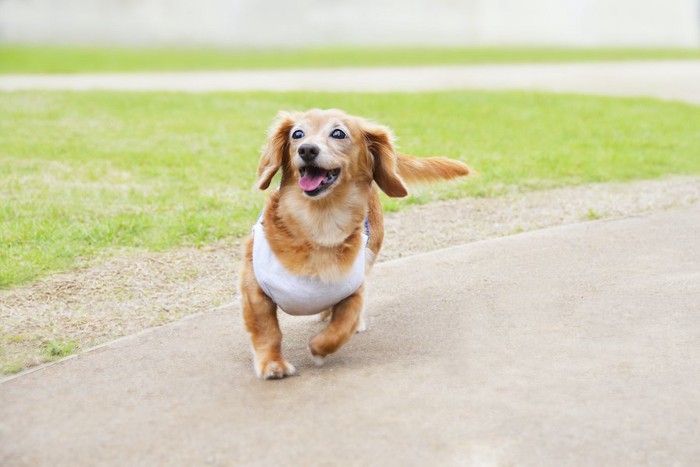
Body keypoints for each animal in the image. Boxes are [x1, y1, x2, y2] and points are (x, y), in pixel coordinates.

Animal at [241, 110, 470, 380]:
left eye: (338, 133)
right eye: (297, 134)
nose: (307, 149)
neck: (320, 224)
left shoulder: (354, 286)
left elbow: (343, 325)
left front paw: (319, 347)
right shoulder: (254, 285)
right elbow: (267, 330)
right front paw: (272, 364)